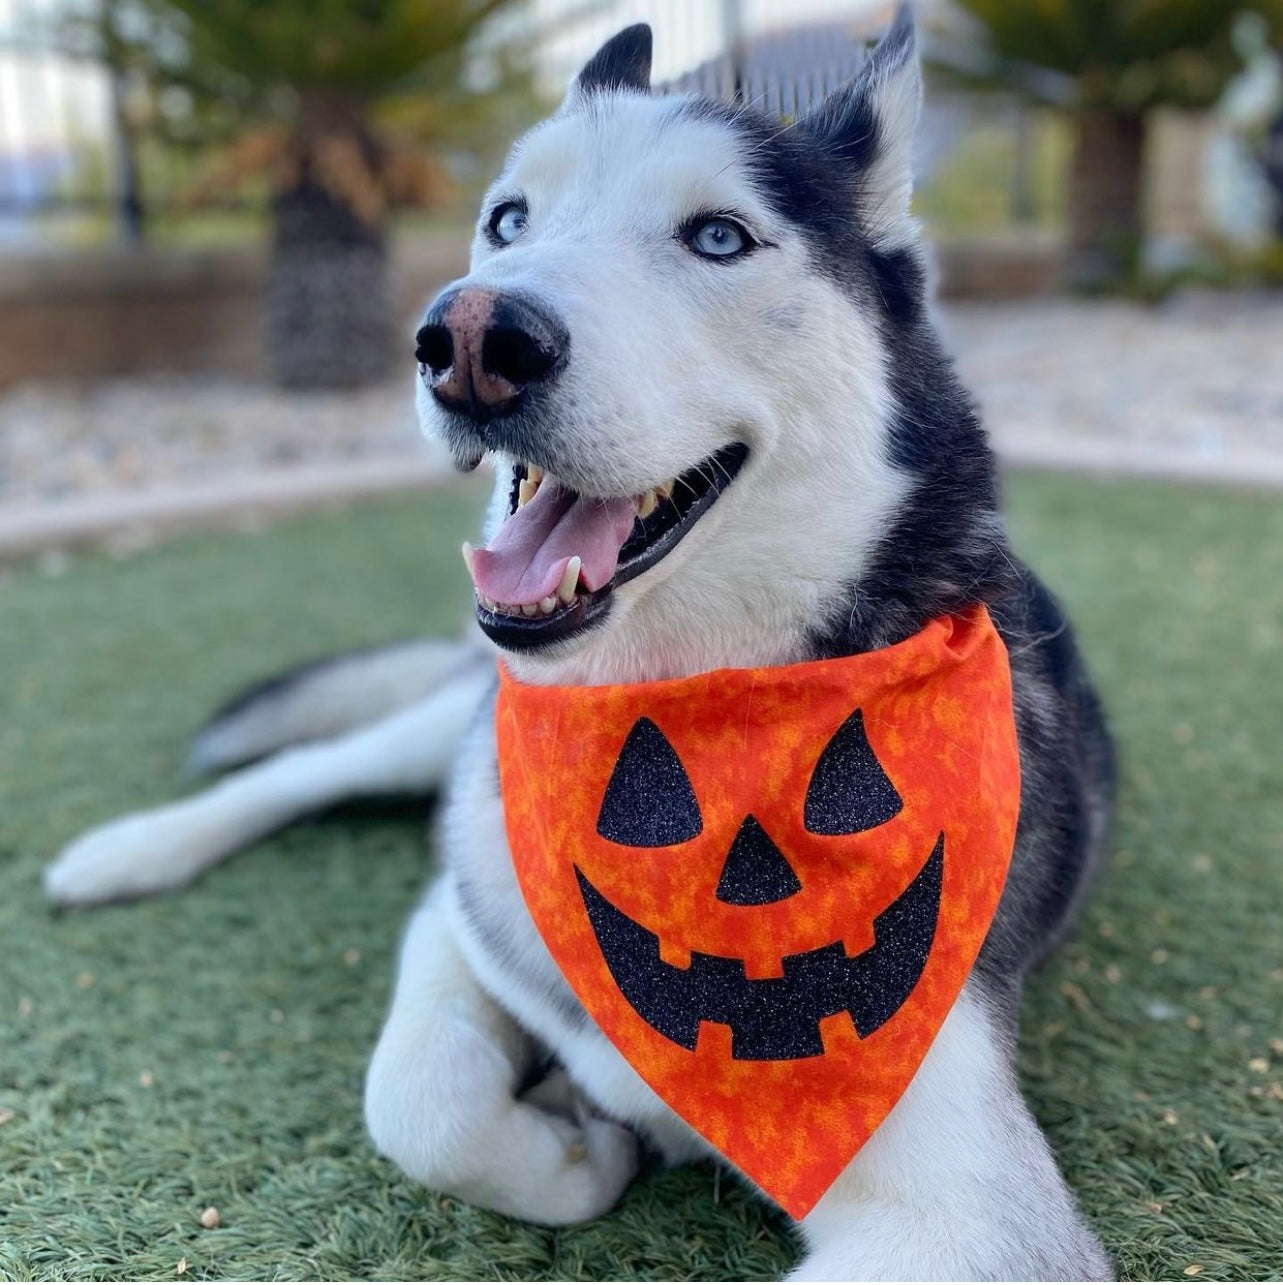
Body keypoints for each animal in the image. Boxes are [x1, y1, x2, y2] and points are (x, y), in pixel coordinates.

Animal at [47, 7, 1115, 1274]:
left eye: (717, 236)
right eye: (508, 219)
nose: (466, 334)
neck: (674, 709)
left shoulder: (970, 1217)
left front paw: (586, 1124)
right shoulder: (464, 904)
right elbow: (417, 1101)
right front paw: (576, 1144)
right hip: (445, 740)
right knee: (306, 766)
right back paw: (129, 851)